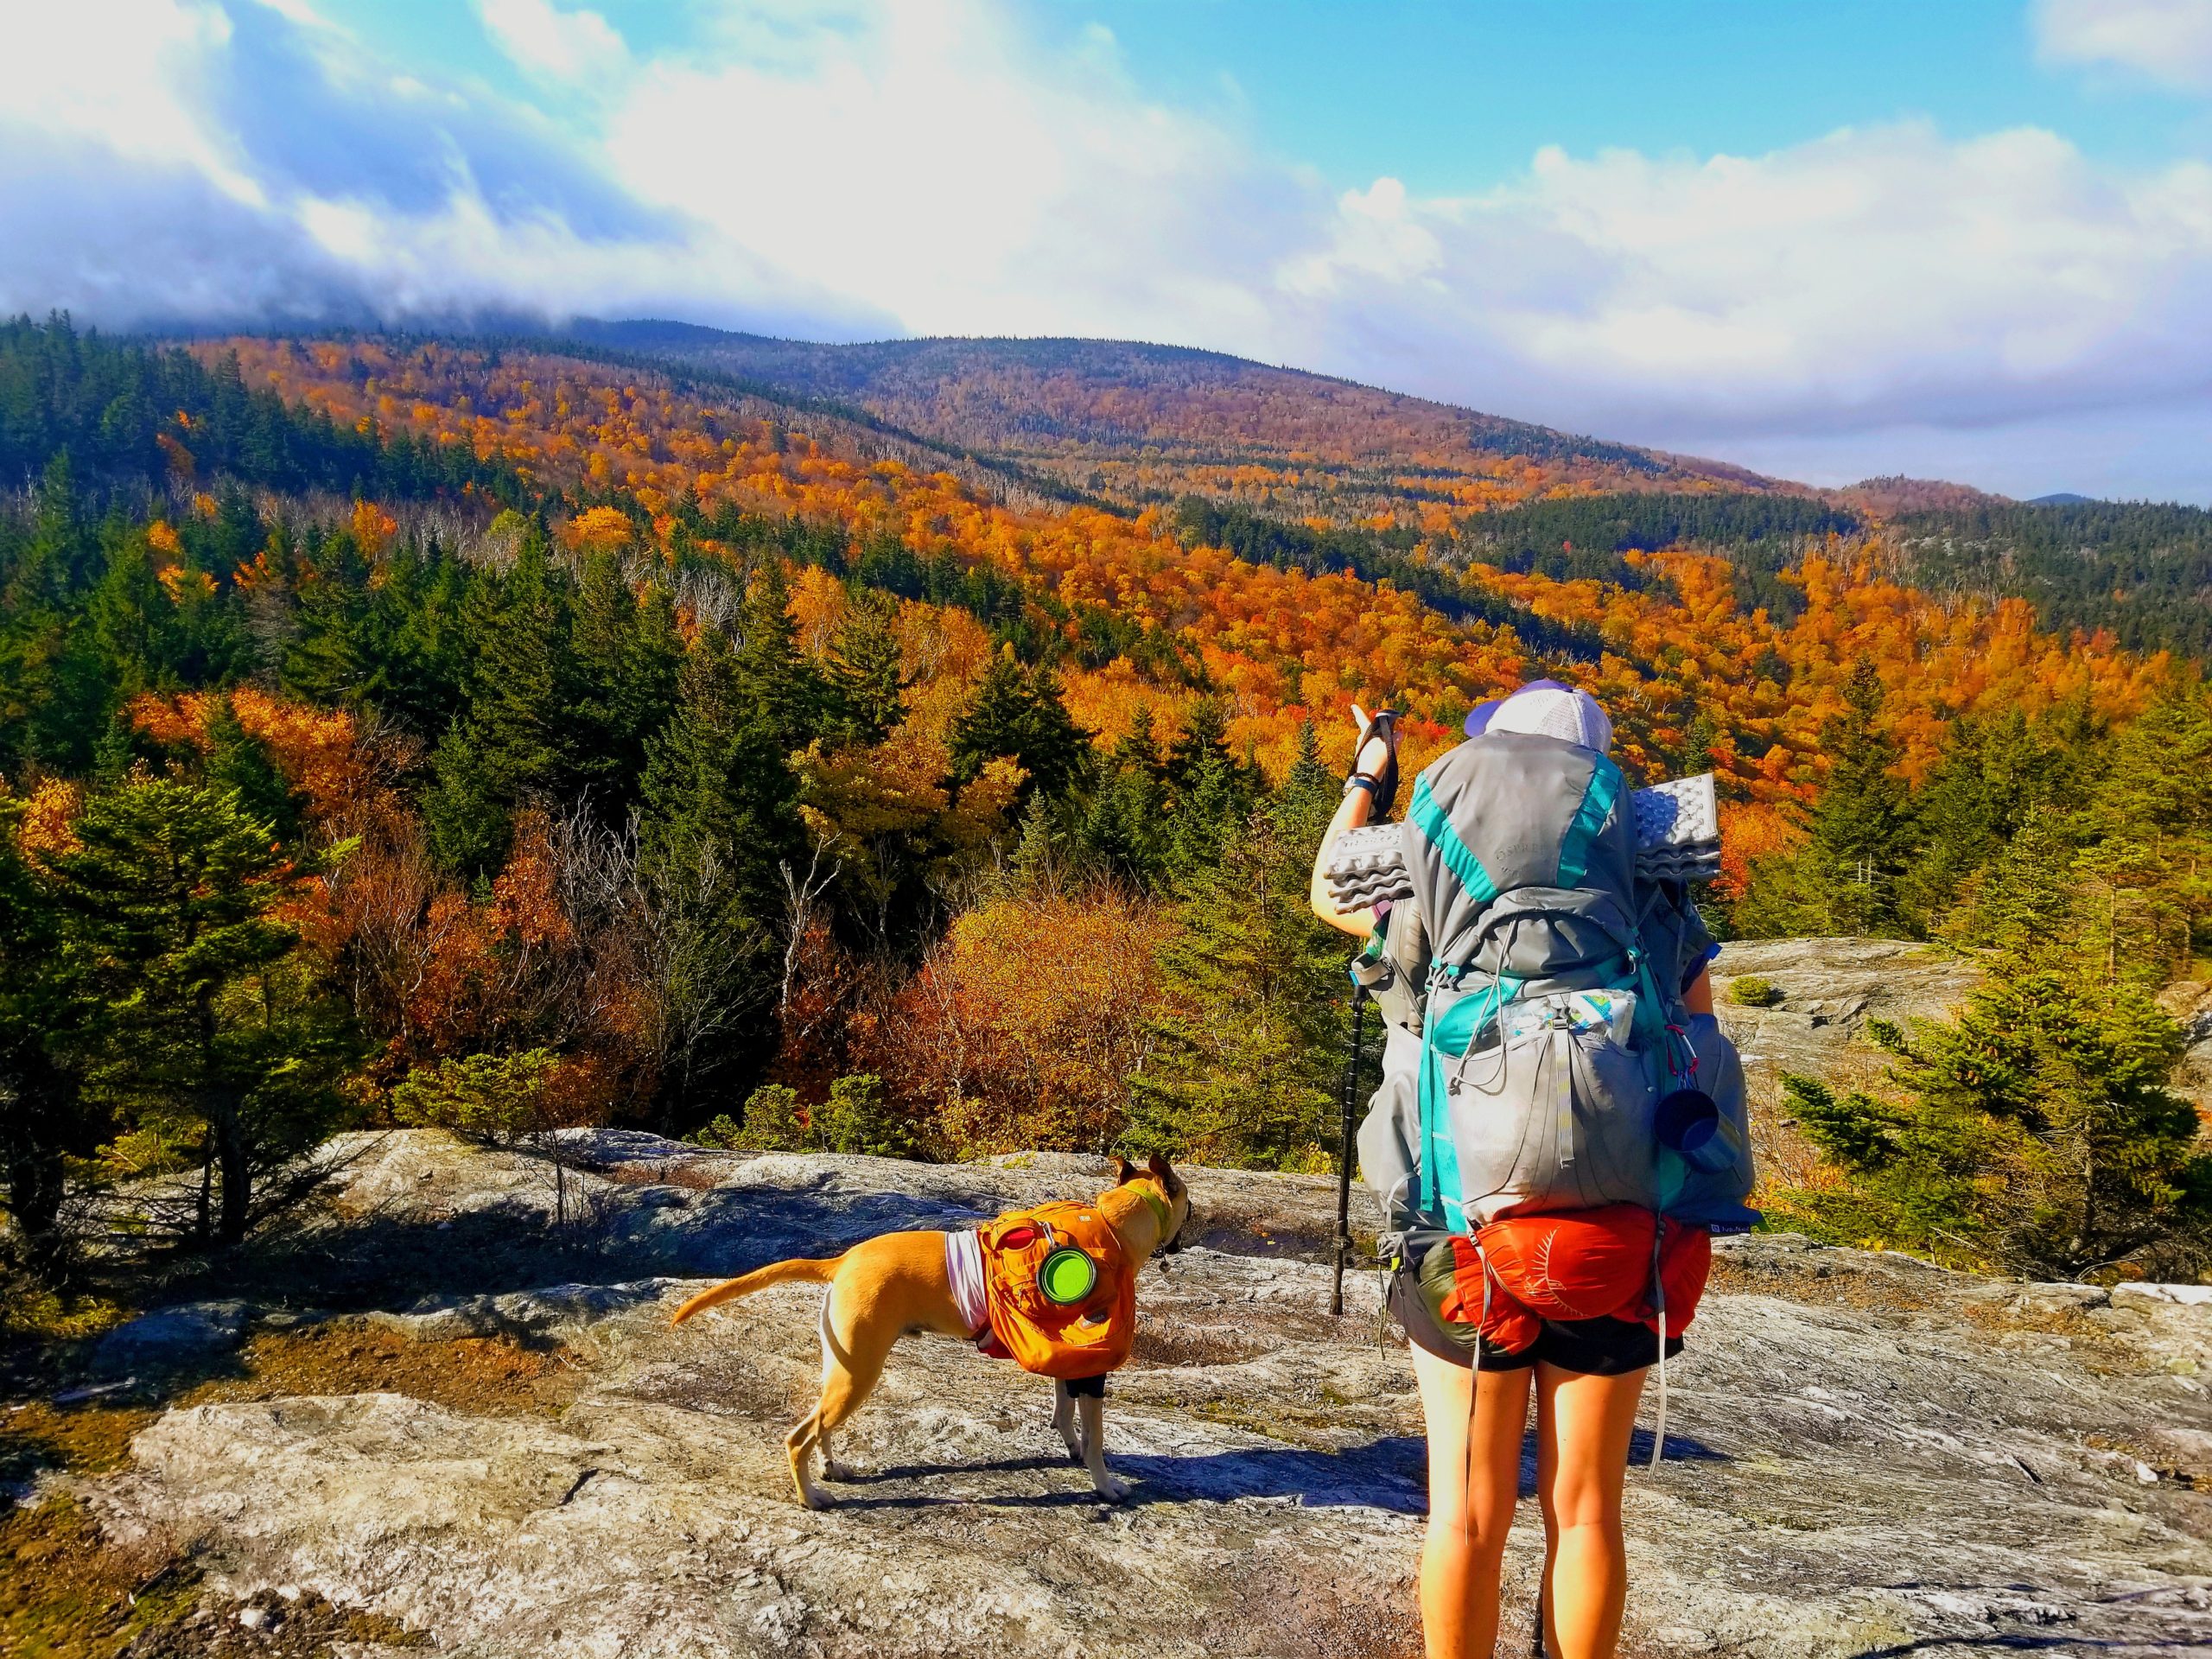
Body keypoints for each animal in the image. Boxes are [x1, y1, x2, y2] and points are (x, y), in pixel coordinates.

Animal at [672, 1159, 1194, 1513]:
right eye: (1189, 1203)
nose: (1193, 1226)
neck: (1111, 1226)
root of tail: (843, 1260)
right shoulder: (1094, 1369)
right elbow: (1095, 1438)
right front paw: (1106, 1486)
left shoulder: (1070, 1360)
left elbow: (1064, 1413)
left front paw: (1070, 1448)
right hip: (860, 1373)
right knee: (798, 1438)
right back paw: (811, 1497)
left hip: (840, 1371)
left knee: (819, 1426)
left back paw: (831, 1468)